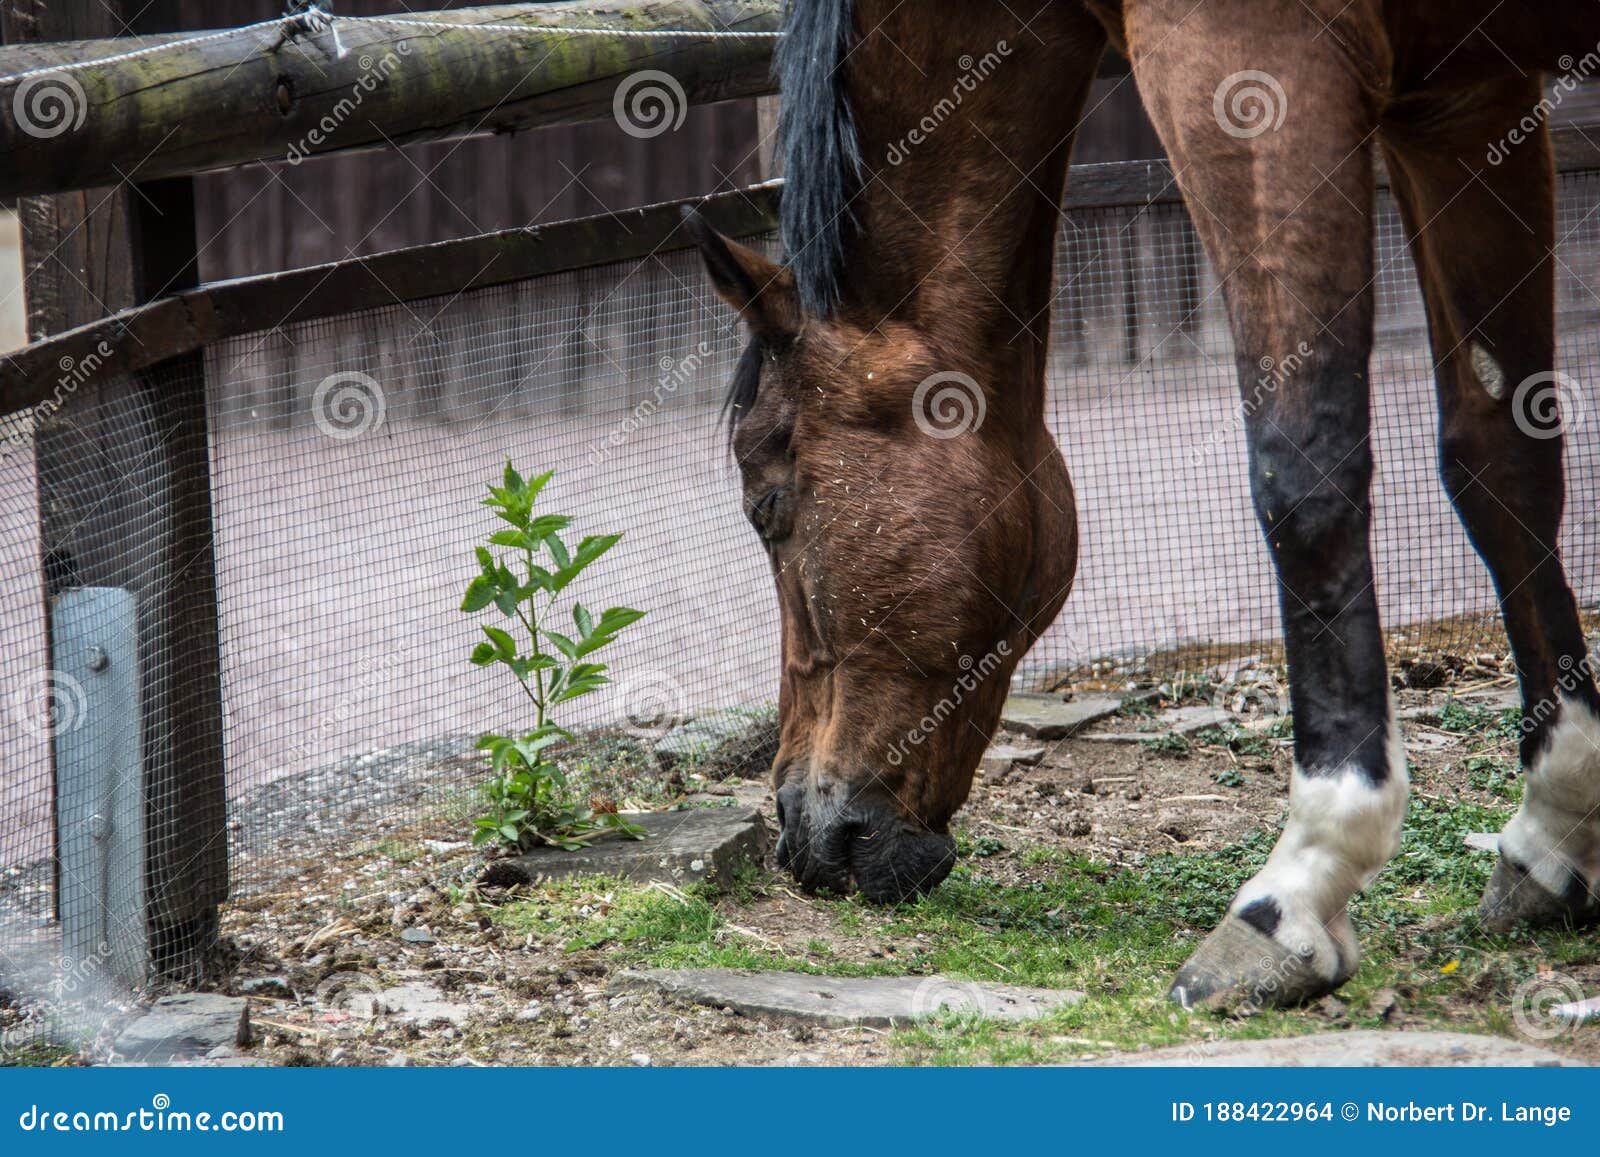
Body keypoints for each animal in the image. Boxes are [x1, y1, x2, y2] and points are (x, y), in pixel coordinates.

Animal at [686, 0, 1600, 1010]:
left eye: (766, 504)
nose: (802, 832)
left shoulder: (1251, 60)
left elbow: (1302, 471)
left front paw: (1300, 884)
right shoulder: (1466, 98)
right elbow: (1501, 461)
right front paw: (1556, 828)